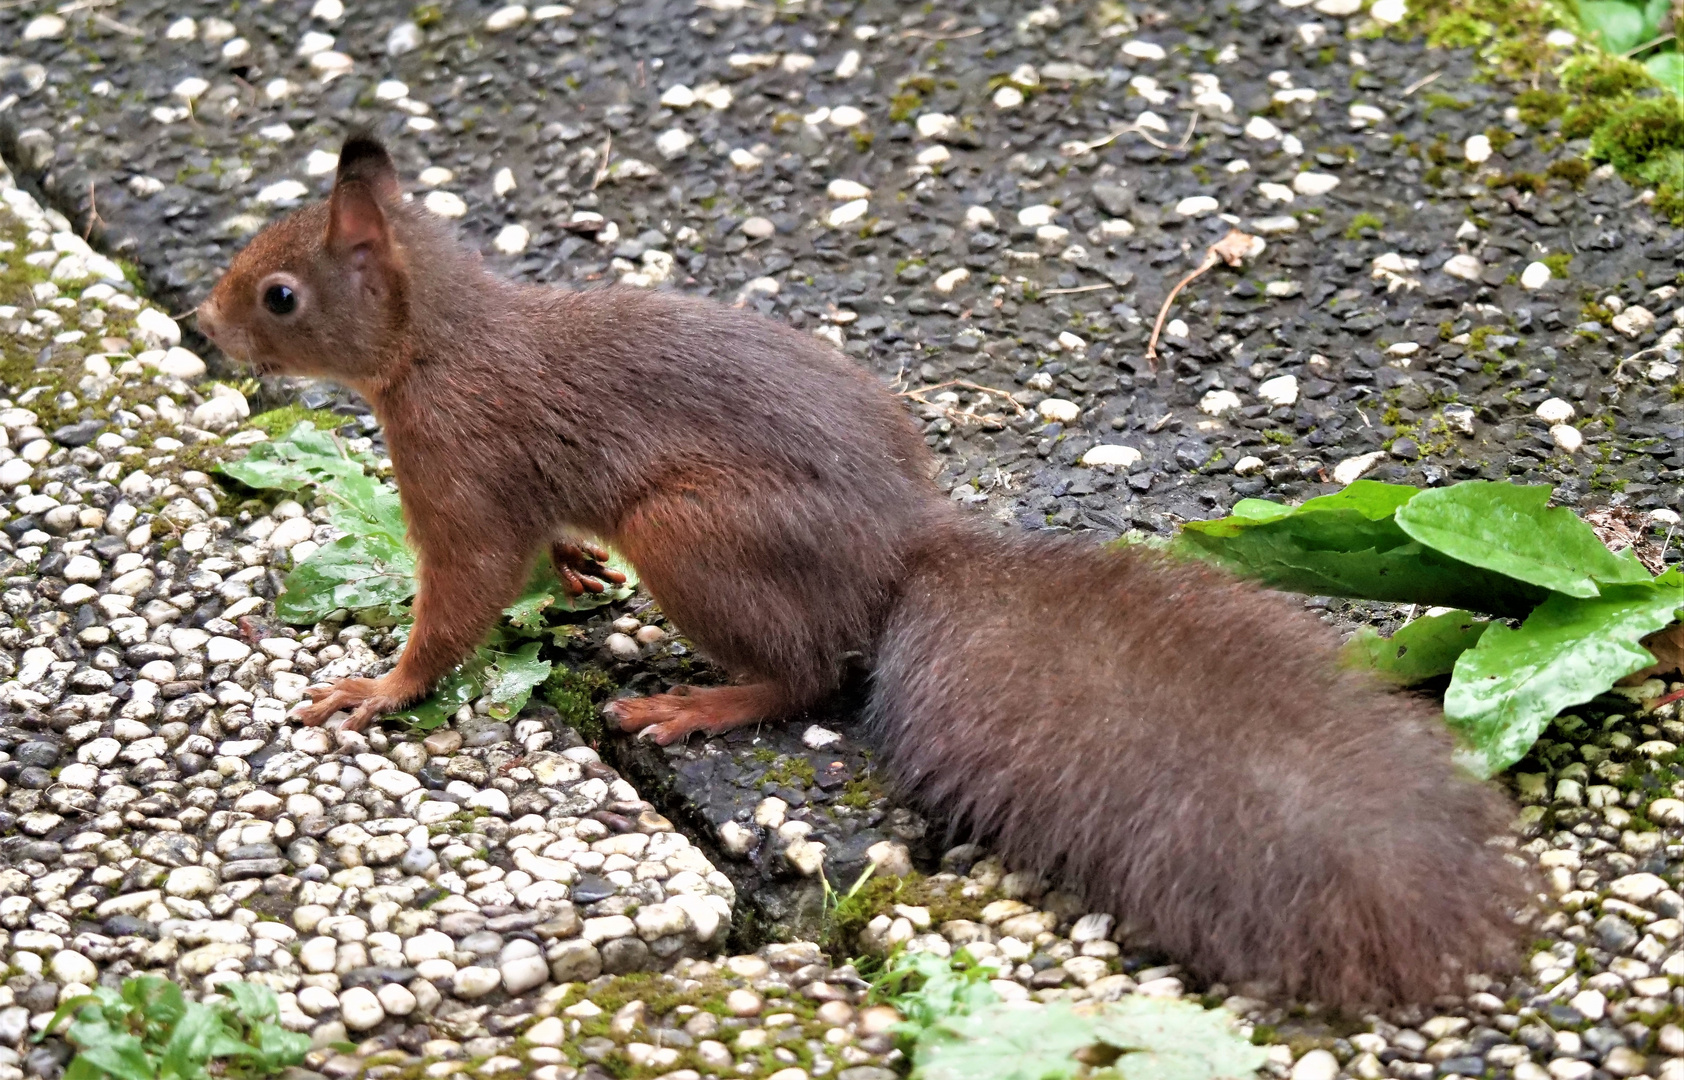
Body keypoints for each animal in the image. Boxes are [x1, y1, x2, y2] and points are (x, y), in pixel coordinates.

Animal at [197, 133, 1529, 1004]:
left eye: (281, 293)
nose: (208, 327)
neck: (436, 341)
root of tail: (905, 547)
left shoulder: (459, 468)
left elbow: (459, 600)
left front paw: (374, 689)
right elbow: (537, 554)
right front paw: (575, 574)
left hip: (691, 532)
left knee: (805, 674)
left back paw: (694, 704)